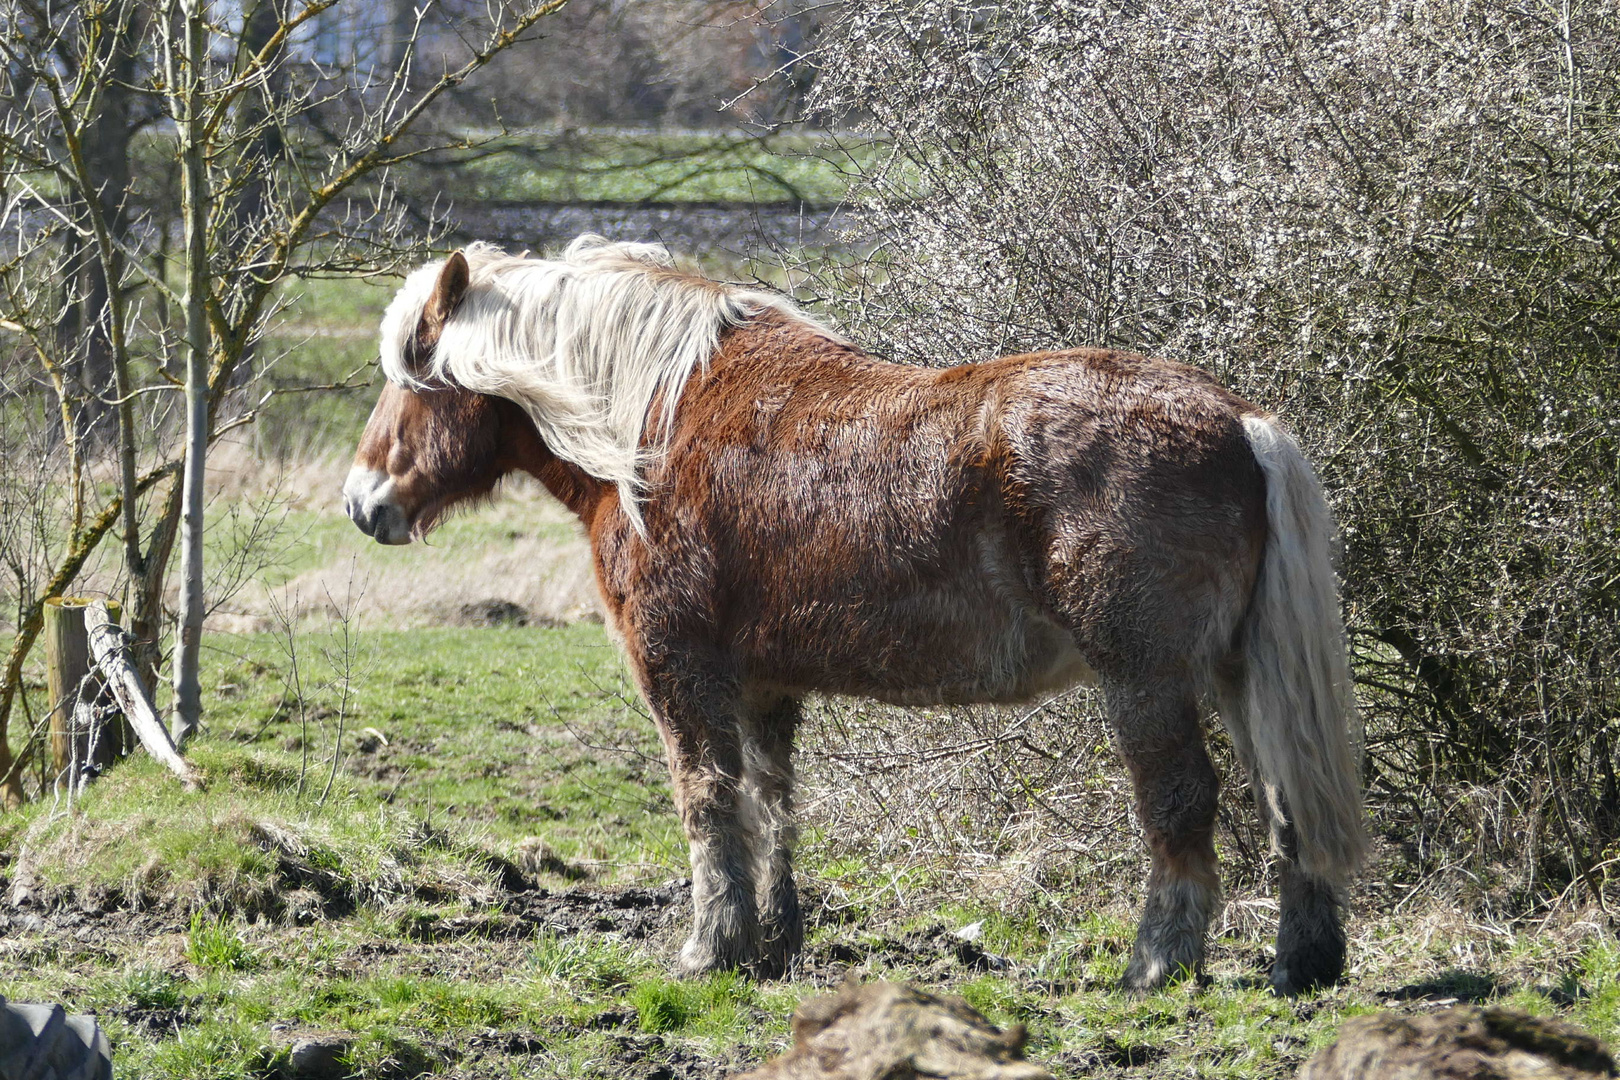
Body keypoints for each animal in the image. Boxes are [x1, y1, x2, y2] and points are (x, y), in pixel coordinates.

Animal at [345, 236, 1367, 997]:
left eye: (415, 375)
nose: (363, 504)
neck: (654, 426)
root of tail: (1239, 421)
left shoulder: (681, 673)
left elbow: (706, 800)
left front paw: (710, 949)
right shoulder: (762, 688)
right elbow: (771, 804)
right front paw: (774, 945)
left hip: (1147, 679)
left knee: (1182, 801)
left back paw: (1157, 964)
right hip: (1235, 673)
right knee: (1285, 796)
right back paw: (1302, 965)